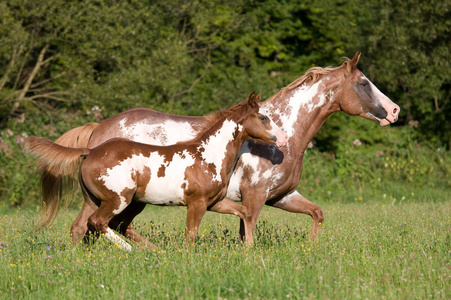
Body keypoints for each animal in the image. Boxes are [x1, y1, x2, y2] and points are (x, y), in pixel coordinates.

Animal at [23, 92, 286, 250]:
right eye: (263, 117)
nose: (283, 139)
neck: (207, 155)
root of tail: (91, 150)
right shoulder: (197, 203)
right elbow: (191, 236)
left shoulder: (215, 202)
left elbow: (245, 213)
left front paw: (249, 246)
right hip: (118, 199)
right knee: (98, 223)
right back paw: (131, 250)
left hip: (94, 199)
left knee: (81, 227)